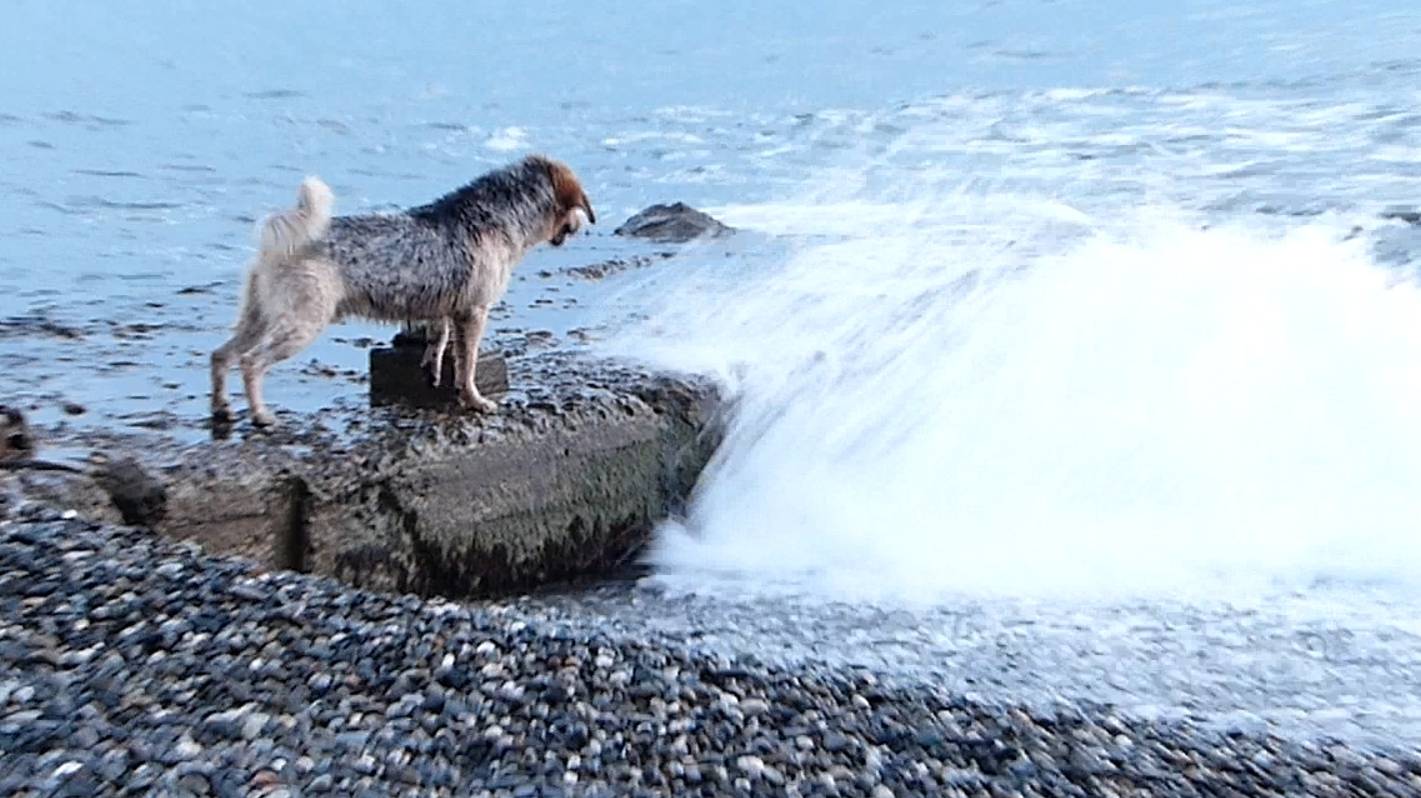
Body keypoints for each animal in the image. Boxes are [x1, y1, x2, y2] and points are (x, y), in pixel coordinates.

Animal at [207, 156, 591, 428]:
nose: (581, 226)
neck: (495, 217)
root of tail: (276, 249)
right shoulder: (474, 312)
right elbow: (467, 365)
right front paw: (474, 400)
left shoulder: (445, 308)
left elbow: (438, 340)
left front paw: (433, 370)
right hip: (302, 323)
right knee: (251, 362)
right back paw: (260, 415)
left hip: (258, 316)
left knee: (220, 355)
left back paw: (221, 407)